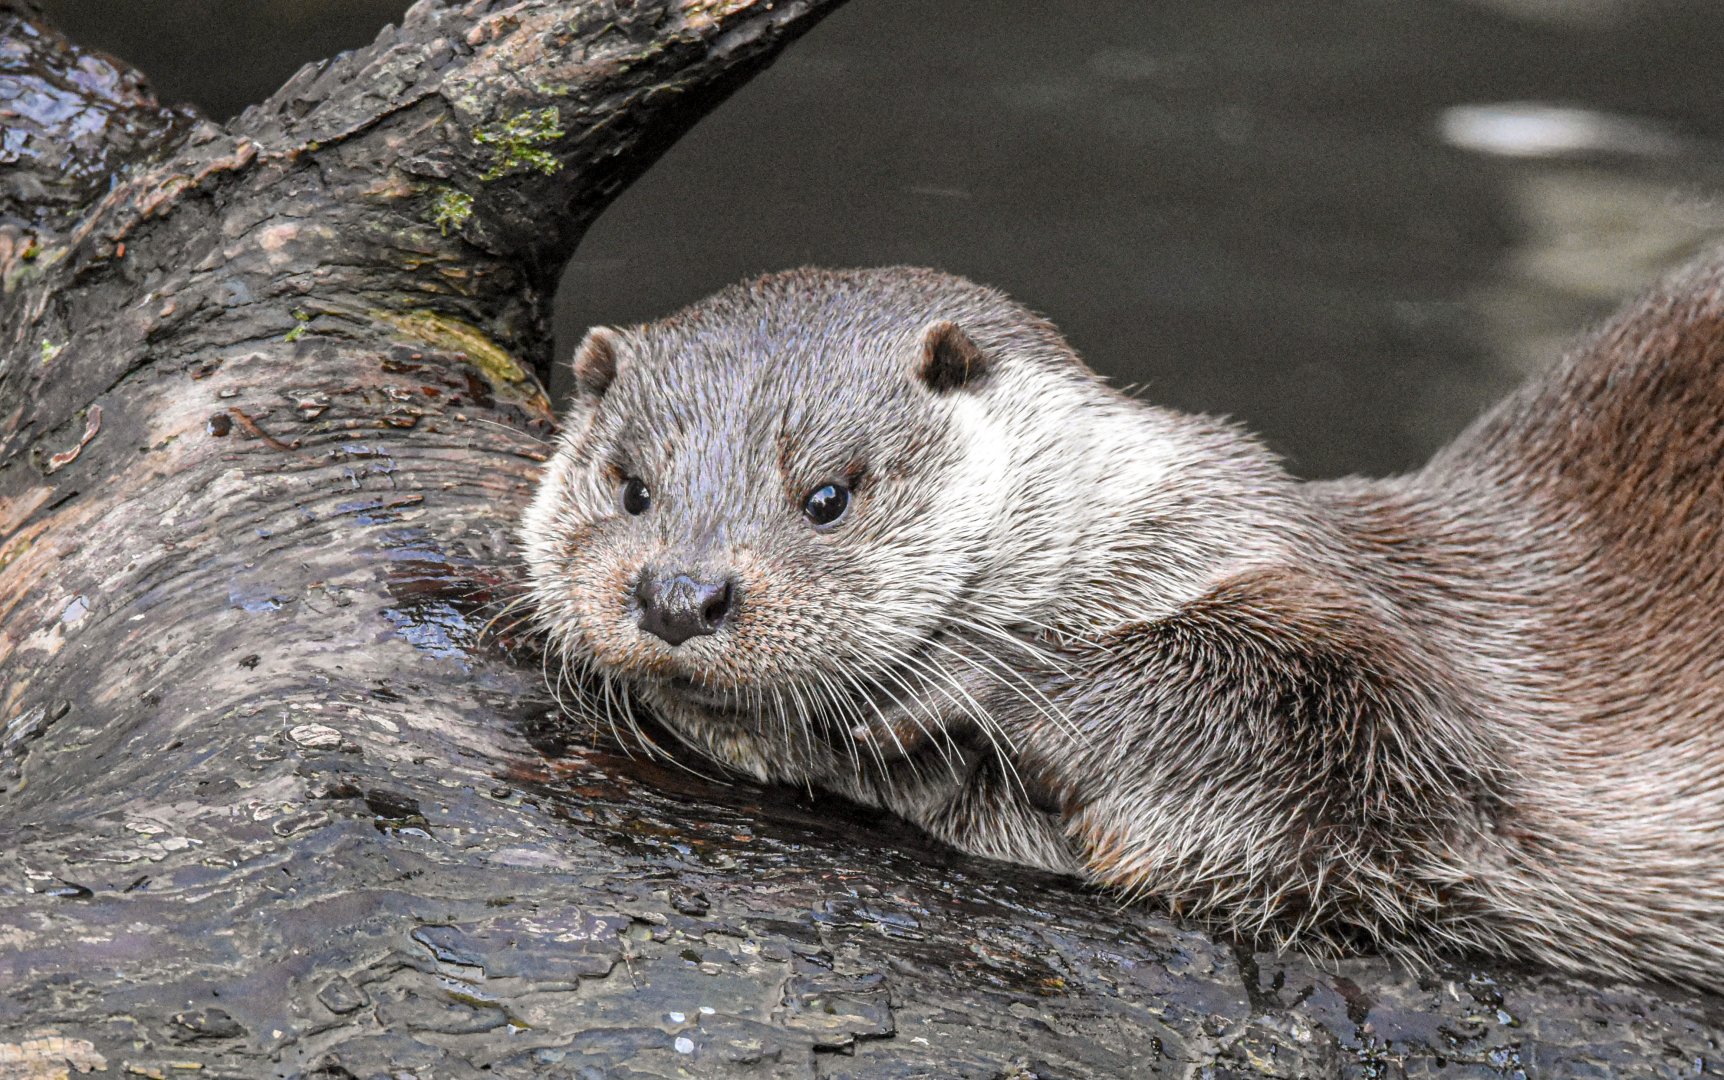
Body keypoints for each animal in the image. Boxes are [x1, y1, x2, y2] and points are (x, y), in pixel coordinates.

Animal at [520, 265, 1724, 990]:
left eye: (827, 495)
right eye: (631, 488)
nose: (679, 596)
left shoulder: (1409, 684)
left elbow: (1357, 715)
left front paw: (971, 681)